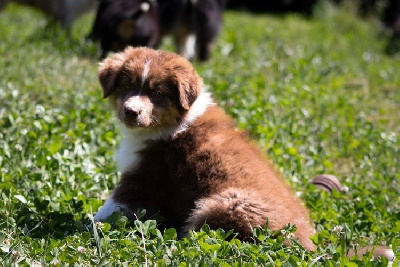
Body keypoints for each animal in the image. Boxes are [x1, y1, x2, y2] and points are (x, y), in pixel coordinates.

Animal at [95, 46, 396, 262]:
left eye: (157, 93)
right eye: (127, 86)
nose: (131, 112)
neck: (173, 122)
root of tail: (310, 246)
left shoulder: (143, 175)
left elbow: (108, 207)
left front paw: (91, 225)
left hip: (222, 204)